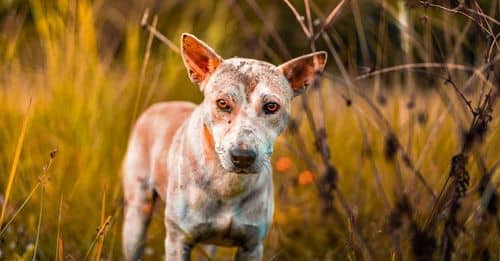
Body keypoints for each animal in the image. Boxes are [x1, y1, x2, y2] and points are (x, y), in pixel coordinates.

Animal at [122, 33, 328, 258]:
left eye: (271, 106)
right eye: (222, 103)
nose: (242, 157)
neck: (227, 184)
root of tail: (159, 106)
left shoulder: (252, 245)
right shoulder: (178, 241)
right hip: (136, 217)